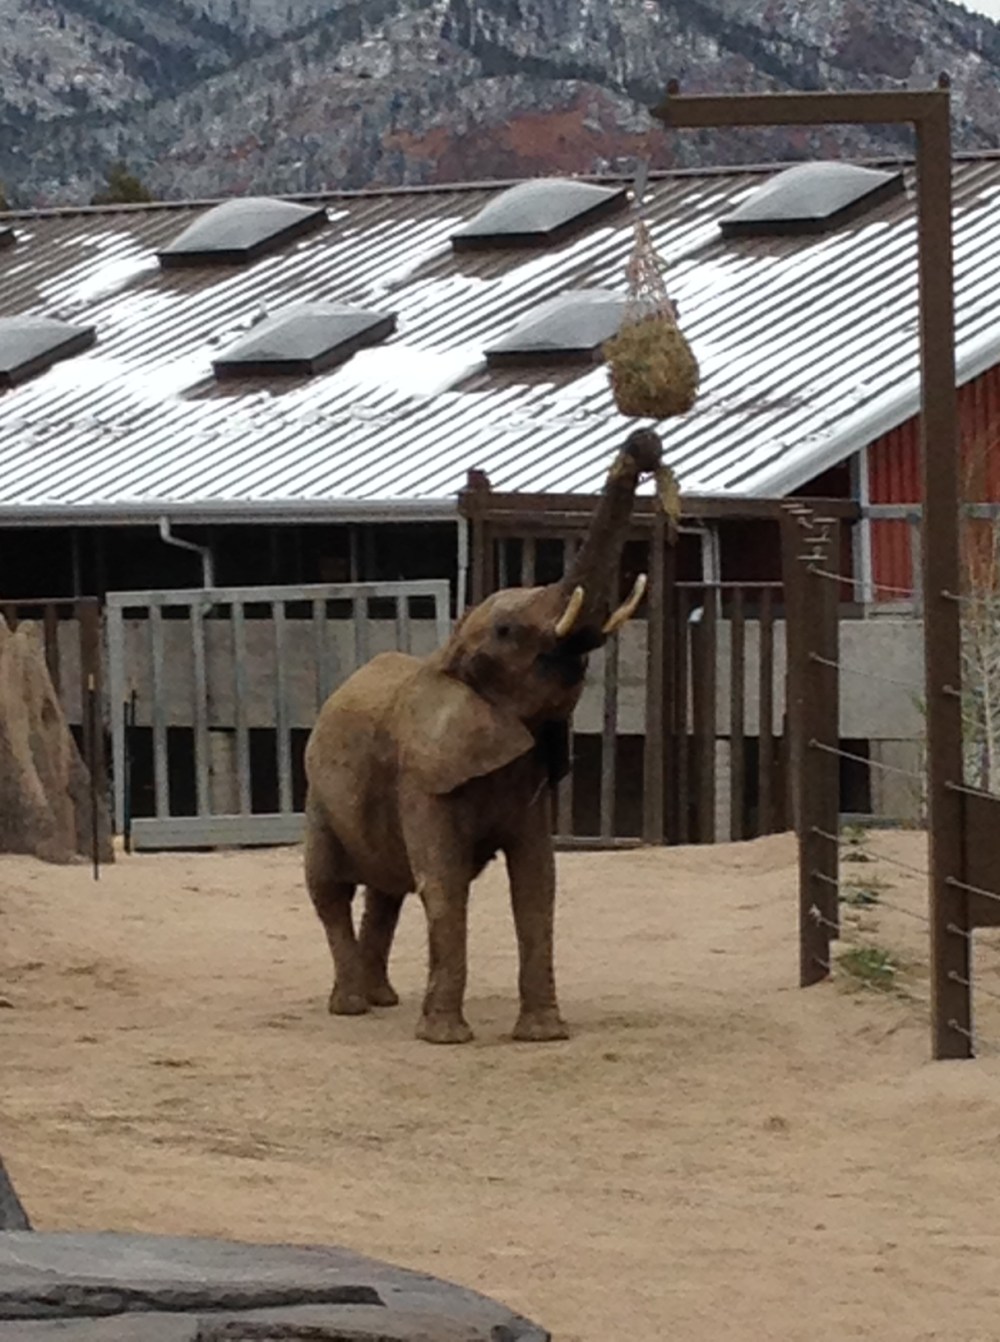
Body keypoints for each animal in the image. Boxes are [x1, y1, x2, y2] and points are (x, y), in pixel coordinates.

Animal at [302, 427, 665, 1044]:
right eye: (506, 630)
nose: (643, 442)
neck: (448, 657)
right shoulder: (421, 773)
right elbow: (445, 883)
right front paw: (446, 1039)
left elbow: (537, 883)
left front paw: (543, 1035)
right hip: (319, 799)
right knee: (331, 888)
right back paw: (351, 1006)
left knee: (386, 891)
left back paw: (382, 1000)